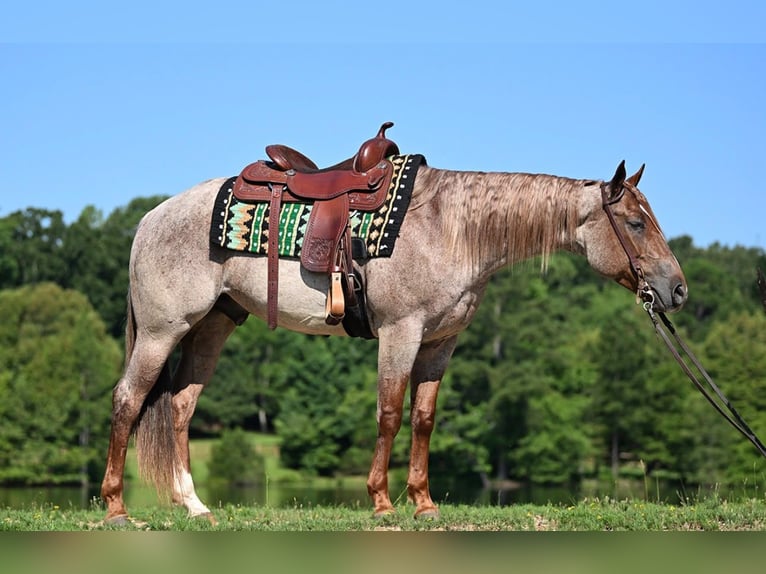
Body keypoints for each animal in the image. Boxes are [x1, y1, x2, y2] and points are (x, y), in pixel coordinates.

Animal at [99, 154, 687, 525]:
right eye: (635, 223)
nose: (676, 289)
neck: (451, 227)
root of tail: (150, 219)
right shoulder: (400, 334)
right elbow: (389, 412)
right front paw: (382, 502)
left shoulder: (440, 343)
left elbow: (423, 418)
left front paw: (423, 503)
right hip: (161, 332)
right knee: (128, 401)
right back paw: (116, 507)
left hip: (213, 326)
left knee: (180, 407)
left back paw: (194, 506)